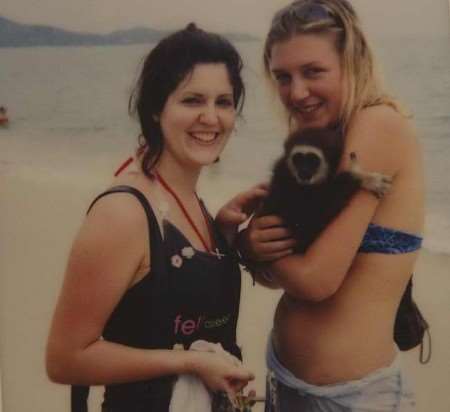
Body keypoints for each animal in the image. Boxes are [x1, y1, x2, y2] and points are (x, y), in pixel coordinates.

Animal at [262, 127, 392, 253]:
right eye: (298, 159)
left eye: (312, 160)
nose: (303, 171)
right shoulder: (283, 179)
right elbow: (305, 224)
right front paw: (361, 177)